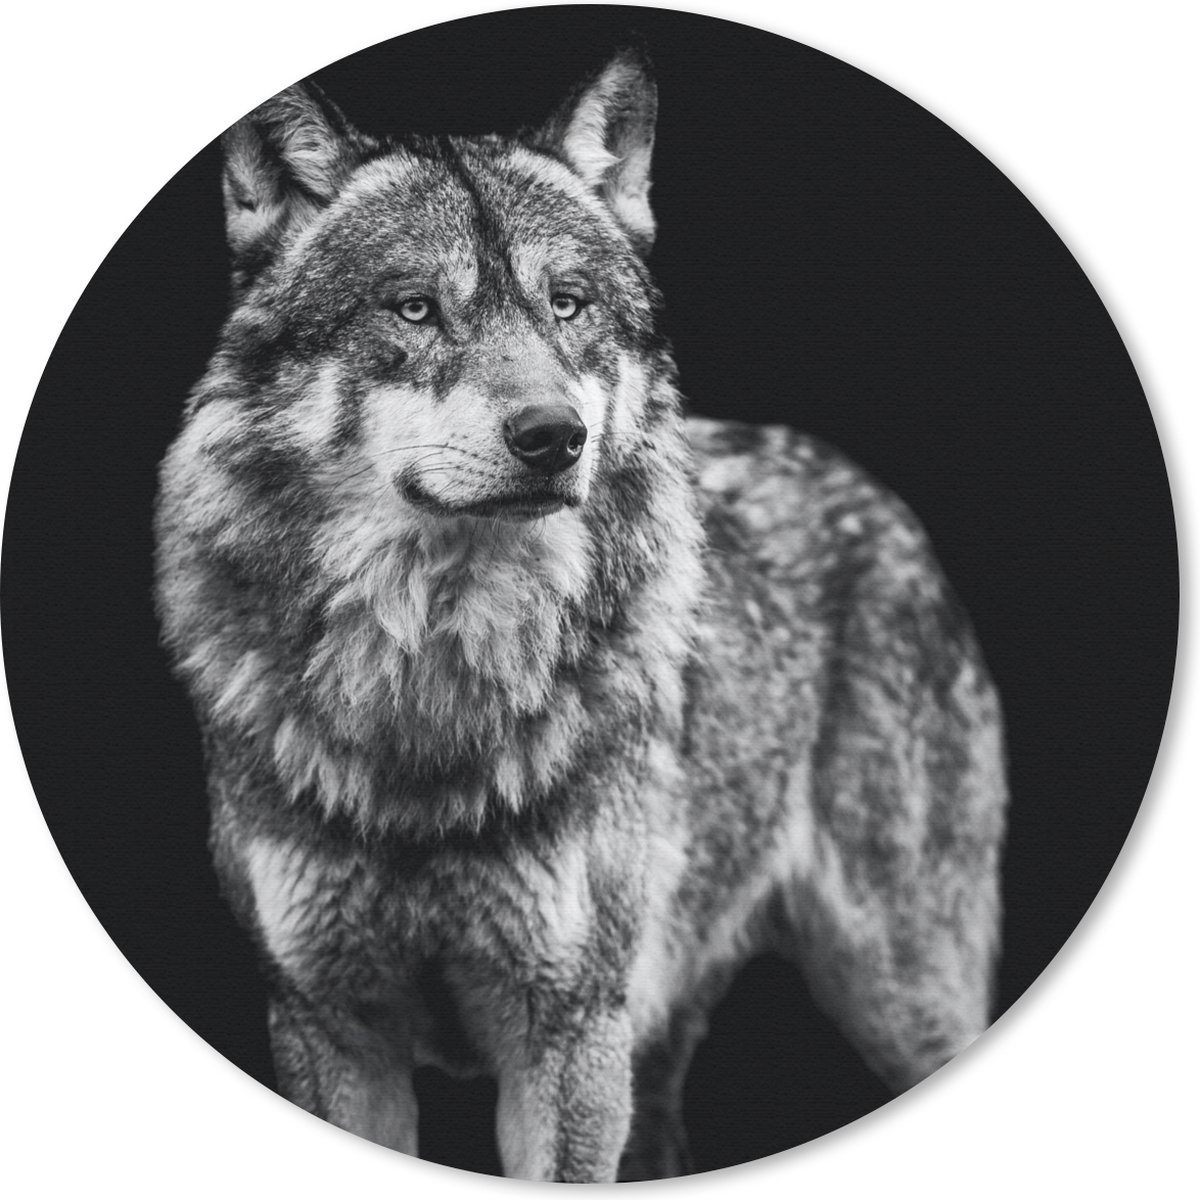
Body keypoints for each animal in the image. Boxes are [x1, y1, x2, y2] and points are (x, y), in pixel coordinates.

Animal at [154, 48, 1007, 1182]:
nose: (554, 436)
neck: (435, 690)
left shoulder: (568, 1036)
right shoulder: (327, 1027)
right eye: (414, 309)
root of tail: (871, 492)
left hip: (900, 994)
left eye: (567, 304)